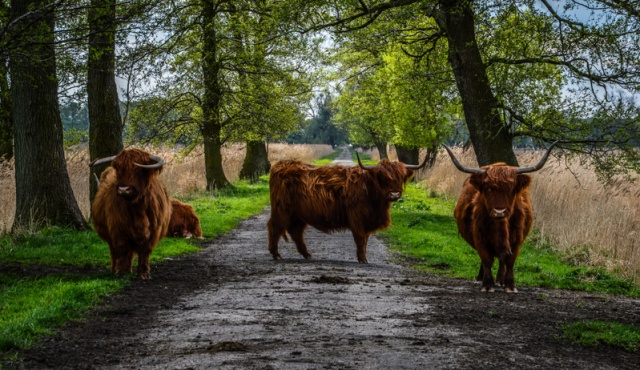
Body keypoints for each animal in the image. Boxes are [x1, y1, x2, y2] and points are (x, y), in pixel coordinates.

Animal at [90, 147, 171, 278]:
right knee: (114, 250)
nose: (123, 189)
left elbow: (145, 251)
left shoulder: (154, 230)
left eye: (138, 170)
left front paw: (143, 273)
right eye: (118, 169)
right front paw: (121, 272)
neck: (138, 208)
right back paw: (115, 268)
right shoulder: (118, 228)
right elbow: (122, 248)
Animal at [268, 153, 428, 264]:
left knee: (296, 232)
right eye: (382, 177)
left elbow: (366, 239)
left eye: (400, 177)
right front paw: (362, 259)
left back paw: (307, 254)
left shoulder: (368, 219)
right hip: (282, 210)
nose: (394, 194)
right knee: (275, 227)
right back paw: (276, 254)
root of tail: (280, 165)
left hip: (298, 215)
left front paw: (363, 258)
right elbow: (360, 238)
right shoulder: (358, 217)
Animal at [444, 144, 556, 292]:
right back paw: (481, 278)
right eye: (488, 189)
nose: (499, 211)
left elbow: (510, 261)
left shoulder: (517, 239)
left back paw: (500, 280)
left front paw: (510, 285)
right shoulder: (479, 237)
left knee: (502, 259)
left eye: (511, 190)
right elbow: (486, 259)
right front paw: (487, 284)